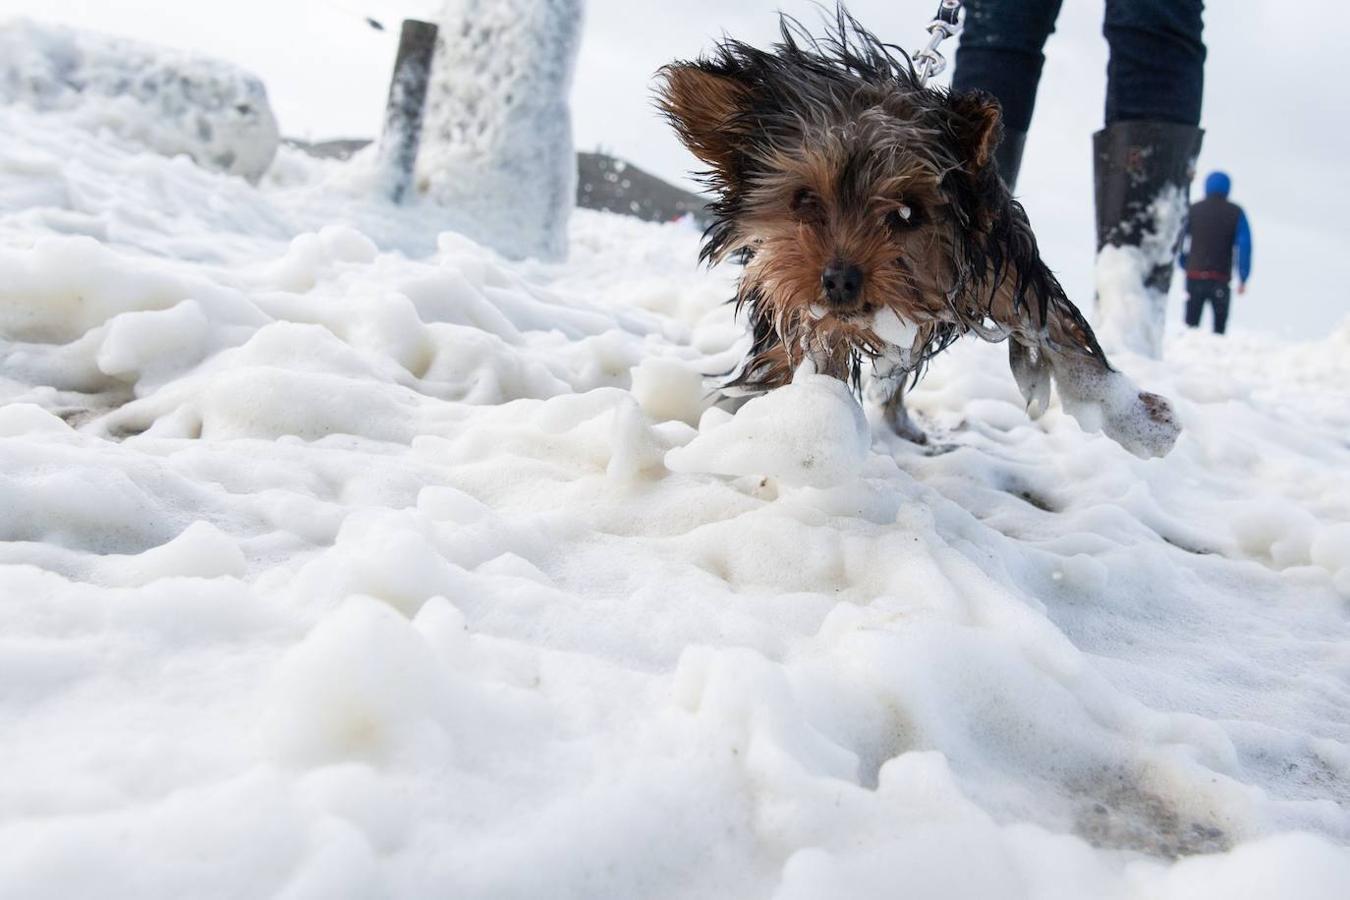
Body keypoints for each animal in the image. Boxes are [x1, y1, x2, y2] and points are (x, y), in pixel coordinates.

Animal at [658, 7, 1177, 458]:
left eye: (908, 213)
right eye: (803, 199)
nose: (840, 280)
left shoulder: (996, 260)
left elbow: (1054, 324)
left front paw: (1137, 416)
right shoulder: (788, 293)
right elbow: (794, 352)